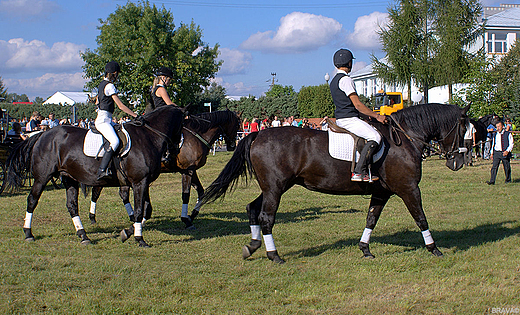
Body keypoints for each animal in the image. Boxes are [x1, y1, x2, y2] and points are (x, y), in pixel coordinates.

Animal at [6, 106, 185, 247]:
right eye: (184, 123)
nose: (171, 155)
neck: (148, 136)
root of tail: (41, 135)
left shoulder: (144, 182)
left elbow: (147, 210)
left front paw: (127, 233)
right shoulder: (139, 182)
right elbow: (140, 210)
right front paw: (139, 239)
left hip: (69, 178)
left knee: (72, 206)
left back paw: (83, 236)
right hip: (42, 178)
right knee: (32, 200)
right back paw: (28, 233)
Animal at [88, 110, 243, 231]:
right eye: (237, 125)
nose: (232, 146)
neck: (197, 135)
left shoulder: (191, 170)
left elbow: (201, 191)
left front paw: (192, 214)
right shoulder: (187, 170)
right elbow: (186, 195)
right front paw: (186, 219)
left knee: (122, 193)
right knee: (98, 191)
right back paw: (94, 217)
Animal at [199, 104, 468, 264]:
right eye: (464, 127)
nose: (458, 162)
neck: (405, 138)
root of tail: (258, 135)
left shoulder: (382, 193)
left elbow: (371, 219)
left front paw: (365, 249)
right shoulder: (409, 189)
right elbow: (421, 218)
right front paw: (434, 249)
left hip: (272, 187)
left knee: (253, 209)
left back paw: (253, 246)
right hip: (275, 188)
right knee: (266, 217)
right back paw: (274, 255)